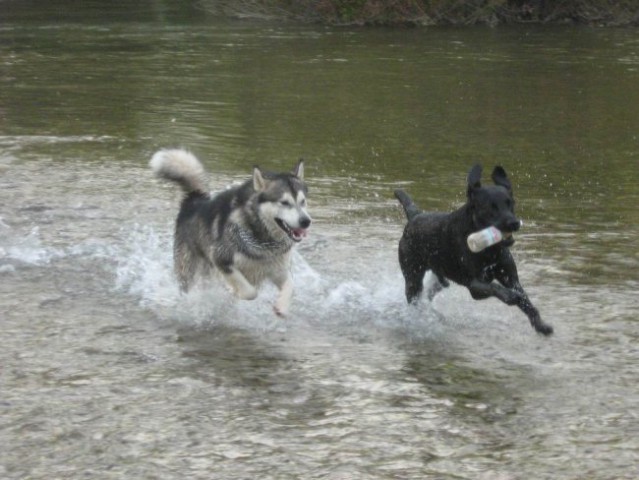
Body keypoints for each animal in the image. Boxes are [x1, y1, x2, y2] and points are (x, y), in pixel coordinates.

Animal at [392, 167, 552, 336]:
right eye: (491, 207)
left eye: (511, 203)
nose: (514, 223)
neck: (490, 250)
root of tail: (414, 216)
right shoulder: (474, 286)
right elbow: (494, 287)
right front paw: (510, 296)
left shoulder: (511, 278)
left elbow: (527, 302)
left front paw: (541, 325)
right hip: (412, 277)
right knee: (415, 298)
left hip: (440, 275)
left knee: (436, 287)